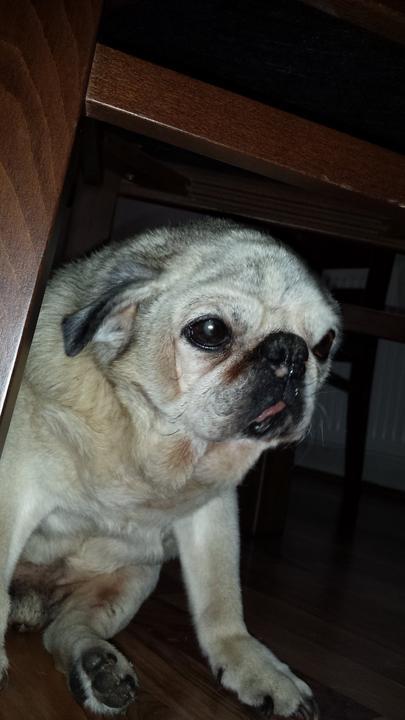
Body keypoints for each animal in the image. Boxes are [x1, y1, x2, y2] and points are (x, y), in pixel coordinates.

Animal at [0, 219, 340, 717]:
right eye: (211, 331)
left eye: (325, 345)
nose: (291, 352)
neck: (146, 440)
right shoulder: (14, 491)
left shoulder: (212, 517)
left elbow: (222, 602)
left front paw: (249, 663)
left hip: (135, 577)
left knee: (64, 631)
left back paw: (96, 668)